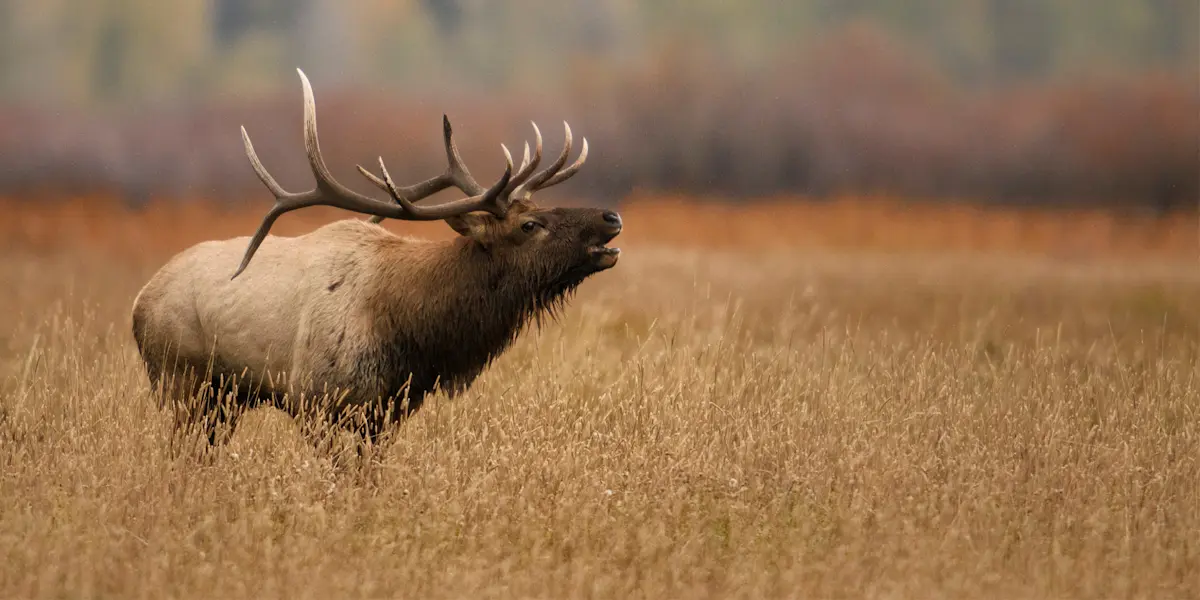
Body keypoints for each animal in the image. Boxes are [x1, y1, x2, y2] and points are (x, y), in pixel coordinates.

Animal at [130, 69, 622, 450]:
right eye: (529, 225)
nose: (611, 216)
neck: (409, 332)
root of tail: (138, 303)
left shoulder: (387, 412)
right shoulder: (315, 401)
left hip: (221, 400)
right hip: (179, 381)